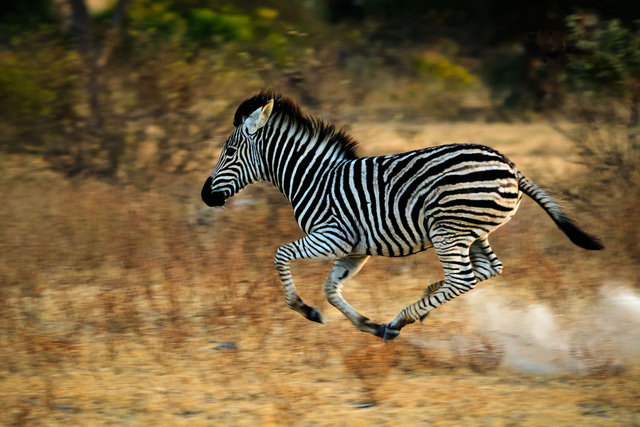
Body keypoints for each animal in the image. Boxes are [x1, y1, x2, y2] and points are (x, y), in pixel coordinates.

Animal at [202, 92, 604, 342]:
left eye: (230, 151)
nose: (206, 195)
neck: (314, 178)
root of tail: (511, 166)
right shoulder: (354, 249)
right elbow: (331, 289)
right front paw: (366, 324)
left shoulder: (331, 236)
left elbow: (280, 255)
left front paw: (304, 309)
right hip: (473, 231)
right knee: (487, 270)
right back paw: (415, 308)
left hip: (448, 230)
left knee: (463, 278)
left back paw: (403, 318)